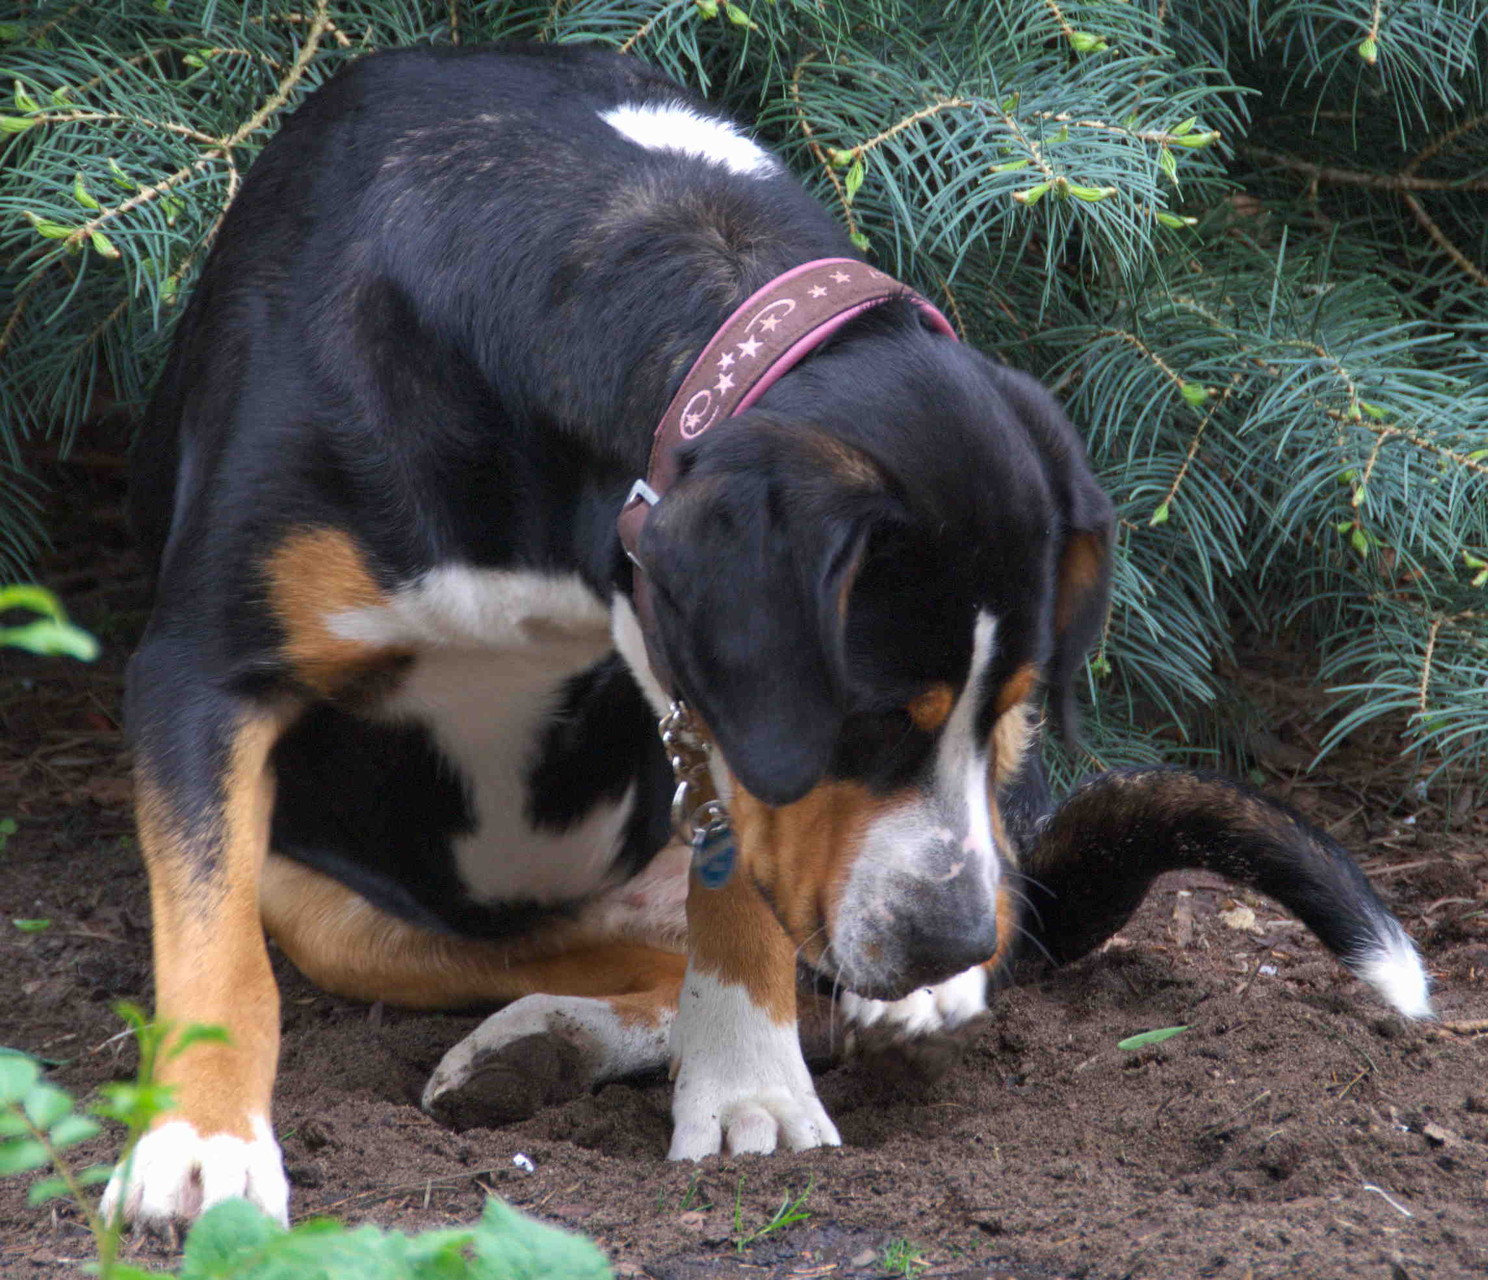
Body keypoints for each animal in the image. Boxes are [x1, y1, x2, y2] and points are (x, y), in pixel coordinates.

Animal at [104, 42, 1428, 1232]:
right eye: (875, 715)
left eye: (1011, 706)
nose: (949, 935)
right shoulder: (201, 673)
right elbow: (217, 954)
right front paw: (201, 1146)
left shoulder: (713, 688)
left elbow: (737, 898)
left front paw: (750, 1094)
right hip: (329, 903)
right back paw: (540, 1041)